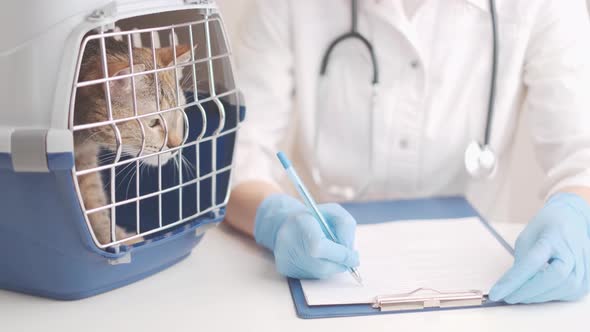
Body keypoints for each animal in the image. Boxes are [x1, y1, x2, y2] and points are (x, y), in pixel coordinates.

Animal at [71, 38, 192, 246]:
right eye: (153, 122)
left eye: (178, 113)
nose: (176, 146)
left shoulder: (86, 160)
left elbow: (94, 204)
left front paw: (113, 238)